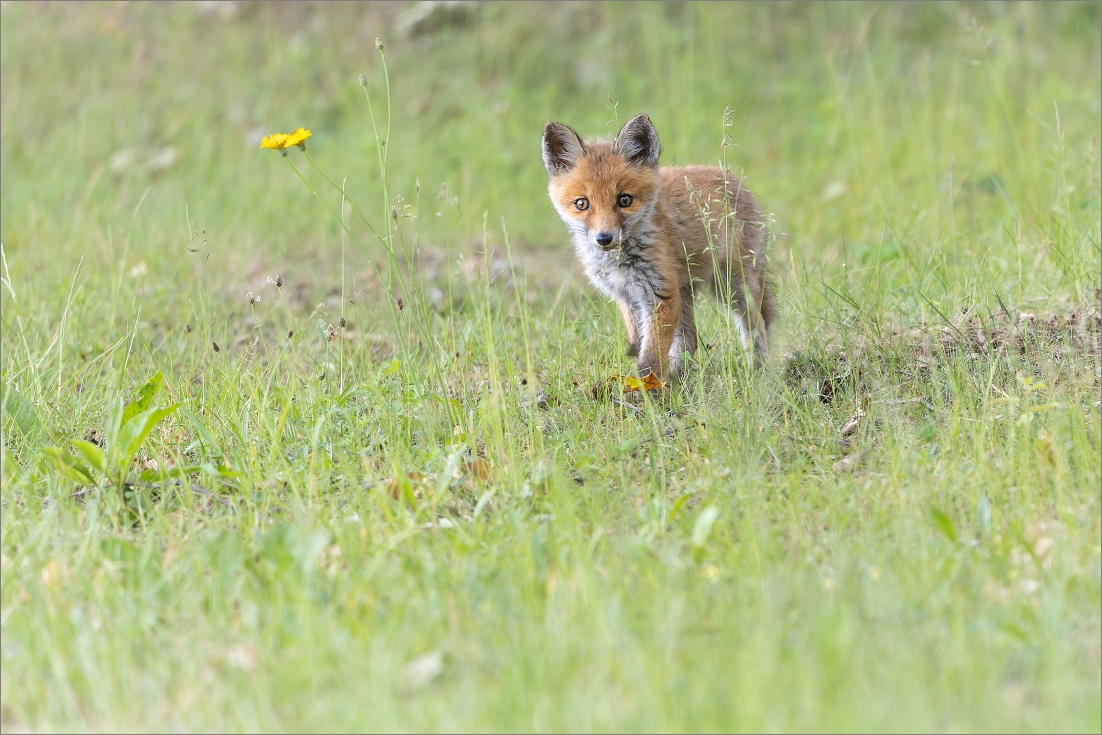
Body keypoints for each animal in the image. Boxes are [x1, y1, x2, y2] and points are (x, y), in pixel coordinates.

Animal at [541, 113, 776, 383]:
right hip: (685, 294)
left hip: (732, 286)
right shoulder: (629, 297)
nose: (604, 238)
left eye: (624, 200)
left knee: (757, 327)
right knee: (690, 339)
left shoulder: (660, 295)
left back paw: (758, 372)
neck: (621, 261)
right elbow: (640, 344)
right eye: (582, 204)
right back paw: (679, 380)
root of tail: (735, 180)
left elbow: (648, 361)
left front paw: (645, 390)